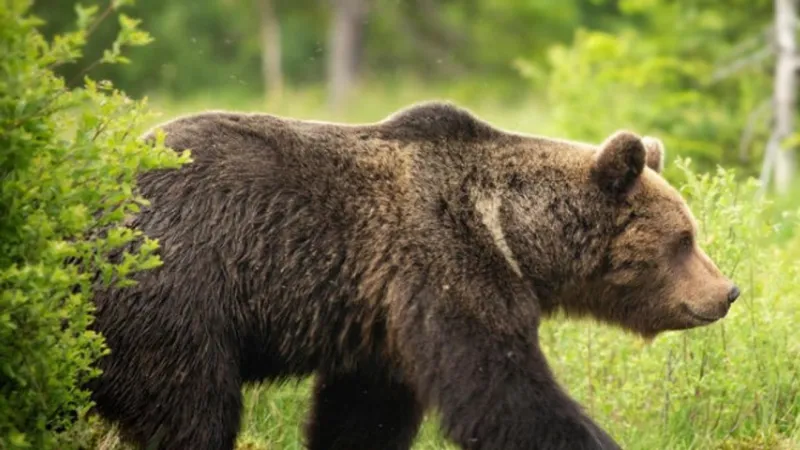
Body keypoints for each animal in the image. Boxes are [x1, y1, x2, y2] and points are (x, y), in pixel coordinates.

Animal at [84, 101, 739, 450]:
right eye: (684, 240)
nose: (727, 292)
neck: (514, 233)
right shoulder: (444, 264)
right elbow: (502, 388)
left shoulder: (382, 319)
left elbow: (364, 412)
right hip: (172, 296)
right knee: (193, 410)